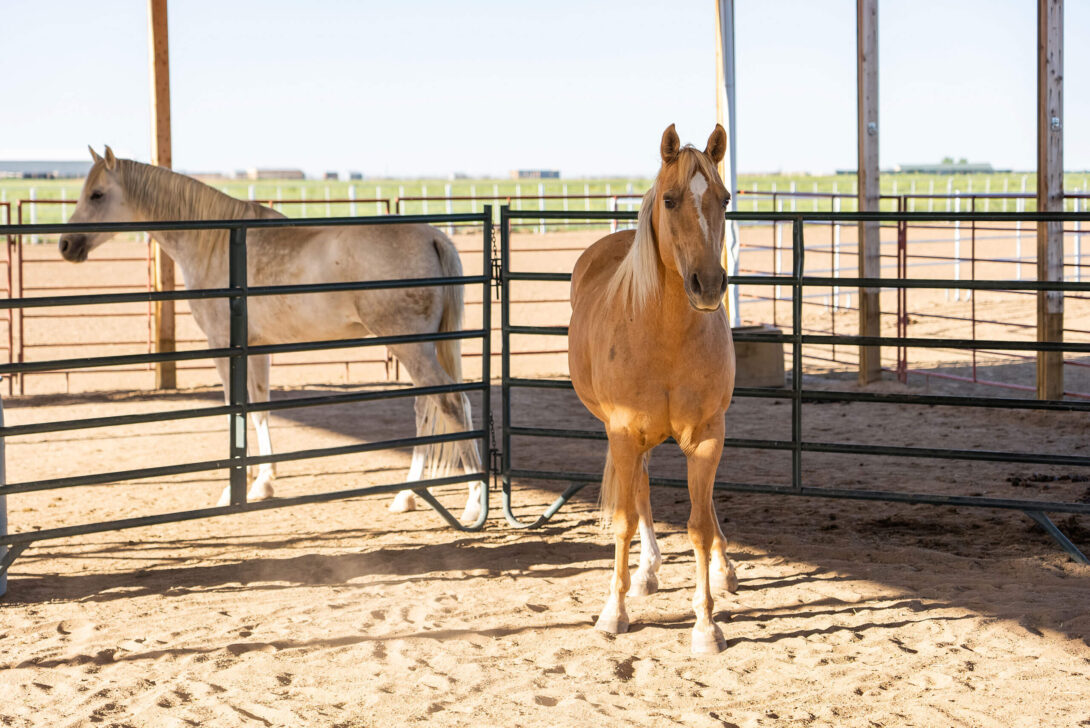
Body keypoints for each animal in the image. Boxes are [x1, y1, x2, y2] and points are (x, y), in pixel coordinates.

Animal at [59, 144, 483, 520]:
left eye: (97, 194)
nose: (65, 245)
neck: (216, 244)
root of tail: (434, 236)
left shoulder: (223, 346)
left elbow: (236, 409)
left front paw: (234, 489)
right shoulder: (257, 347)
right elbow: (260, 408)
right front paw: (263, 482)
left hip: (411, 347)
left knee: (450, 403)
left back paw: (473, 501)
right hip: (416, 347)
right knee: (427, 408)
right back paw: (407, 495)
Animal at [571, 123, 741, 653]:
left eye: (725, 198)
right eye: (669, 200)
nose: (708, 285)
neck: (664, 335)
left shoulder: (708, 435)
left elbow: (700, 524)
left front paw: (706, 625)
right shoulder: (624, 433)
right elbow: (625, 519)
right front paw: (613, 611)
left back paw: (723, 569)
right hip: (629, 437)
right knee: (640, 492)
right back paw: (644, 573)